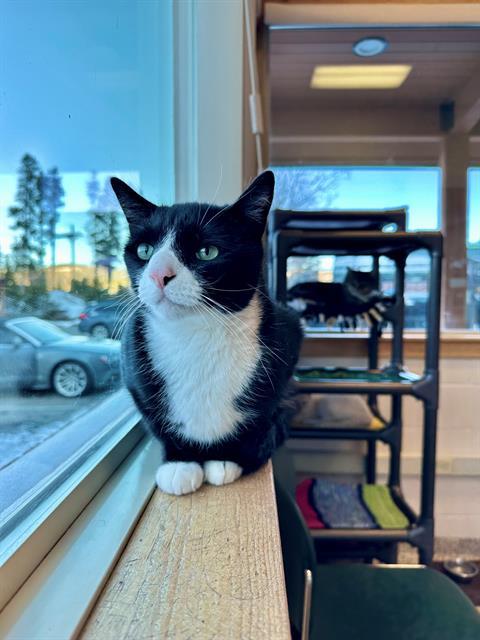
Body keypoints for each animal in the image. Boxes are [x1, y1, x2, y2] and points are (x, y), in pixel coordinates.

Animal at [110, 170, 302, 496]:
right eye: (145, 251)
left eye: (207, 252)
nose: (158, 274)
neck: (195, 336)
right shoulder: (133, 368)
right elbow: (156, 421)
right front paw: (180, 463)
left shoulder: (287, 338)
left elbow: (260, 422)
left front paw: (226, 459)